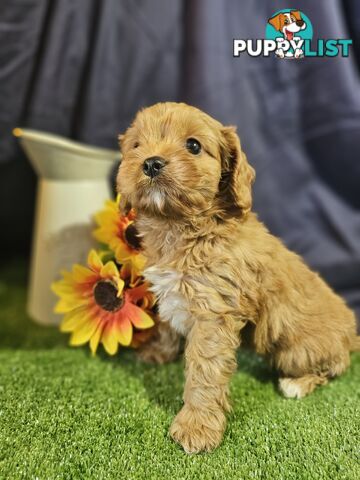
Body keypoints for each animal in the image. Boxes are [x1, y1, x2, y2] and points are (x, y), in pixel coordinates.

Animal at [116, 101, 358, 454]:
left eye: (193, 146)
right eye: (137, 146)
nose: (151, 162)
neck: (181, 227)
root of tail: (352, 335)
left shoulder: (214, 312)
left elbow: (203, 371)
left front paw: (197, 427)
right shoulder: (172, 292)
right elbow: (167, 326)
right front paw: (157, 353)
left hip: (295, 350)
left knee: (335, 367)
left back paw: (297, 384)